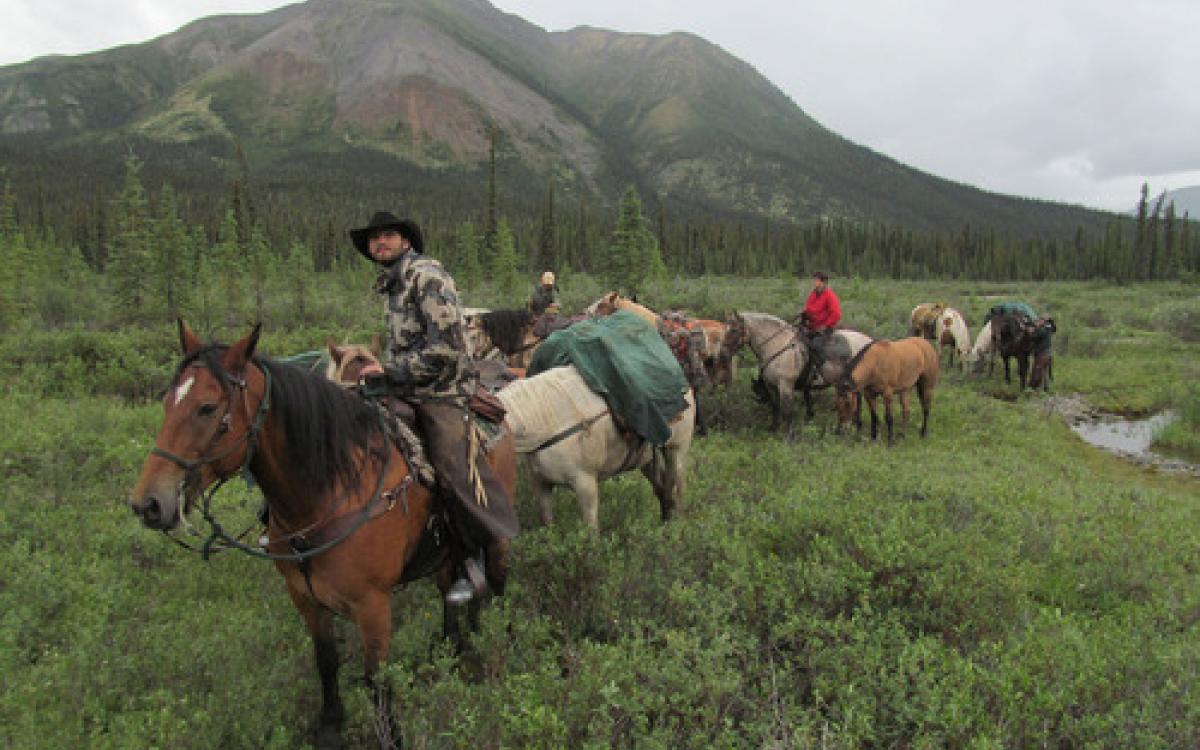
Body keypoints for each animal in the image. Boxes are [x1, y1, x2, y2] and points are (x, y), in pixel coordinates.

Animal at [129, 321, 518, 749]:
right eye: (167, 403)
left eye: (207, 408)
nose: (148, 504)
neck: (328, 493)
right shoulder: (305, 597)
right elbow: (326, 660)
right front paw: (331, 725)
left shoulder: (372, 606)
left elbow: (377, 681)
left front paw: (391, 736)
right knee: (451, 588)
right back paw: (453, 647)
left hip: (495, 536)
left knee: (497, 584)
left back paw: (499, 642)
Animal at [496, 365, 695, 531]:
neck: (548, 421)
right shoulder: (541, 484)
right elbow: (547, 523)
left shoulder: (586, 484)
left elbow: (590, 531)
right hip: (645, 460)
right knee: (663, 490)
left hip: (676, 451)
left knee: (678, 490)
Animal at [724, 312, 873, 432]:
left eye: (733, 330)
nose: (723, 352)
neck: (776, 345)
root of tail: (869, 341)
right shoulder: (771, 385)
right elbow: (776, 406)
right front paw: (774, 428)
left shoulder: (786, 385)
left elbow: (787, 411)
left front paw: (788, 435)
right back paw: (856, 425)